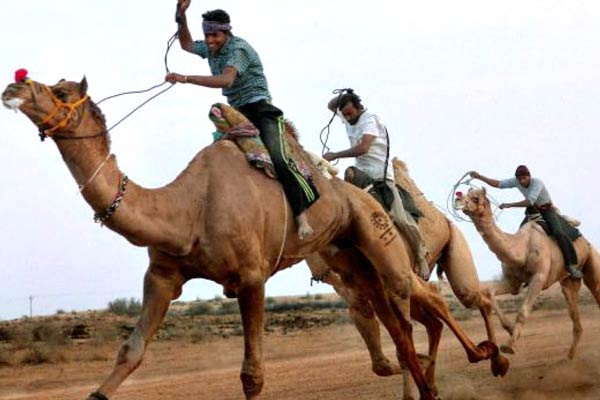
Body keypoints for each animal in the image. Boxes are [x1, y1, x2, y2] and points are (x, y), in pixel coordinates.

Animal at [308, 159, 500, 396]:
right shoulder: (357, 298)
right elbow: (383, 362)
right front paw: (420, 373)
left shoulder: (398, 279)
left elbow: (406, 337)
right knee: (434, 322)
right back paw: (436, 380)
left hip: (452, 249)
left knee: (468, 297)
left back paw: (496, 361)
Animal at [458, 187, 600, 356]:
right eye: (466, 193)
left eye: (476, 197)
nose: (458, 199)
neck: (521, 249)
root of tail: (585, 240)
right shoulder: (512, 282)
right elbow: (490, 292)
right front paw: (510, 328)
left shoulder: (539, 278)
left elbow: (523, 312)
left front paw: (509, 346)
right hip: (568, 281)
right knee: (574, 315)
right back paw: (569, 358)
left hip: (591, 259)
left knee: (596, 290)